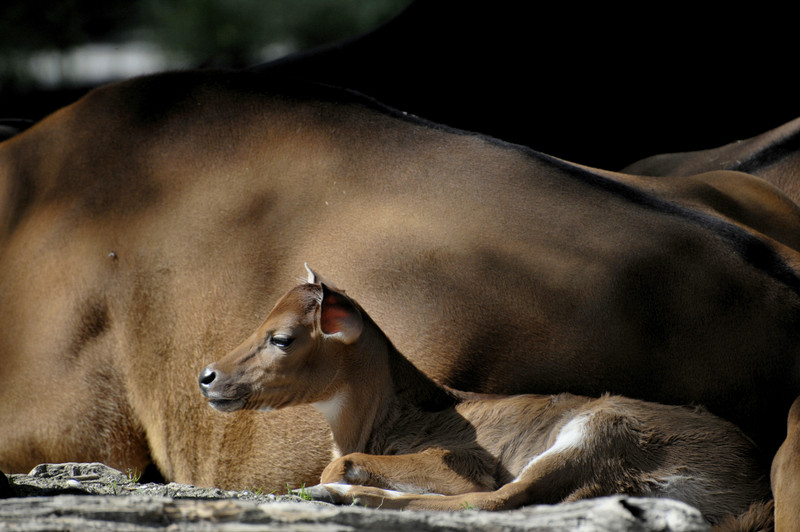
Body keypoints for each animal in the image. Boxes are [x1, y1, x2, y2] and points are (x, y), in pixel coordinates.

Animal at [202, 268, 776, 524]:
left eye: (282, 338)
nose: (207, 375)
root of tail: (750, 486)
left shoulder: (462, 459)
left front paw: (332, 484)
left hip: (599, 432)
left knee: (502, 498)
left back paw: (343, 495)